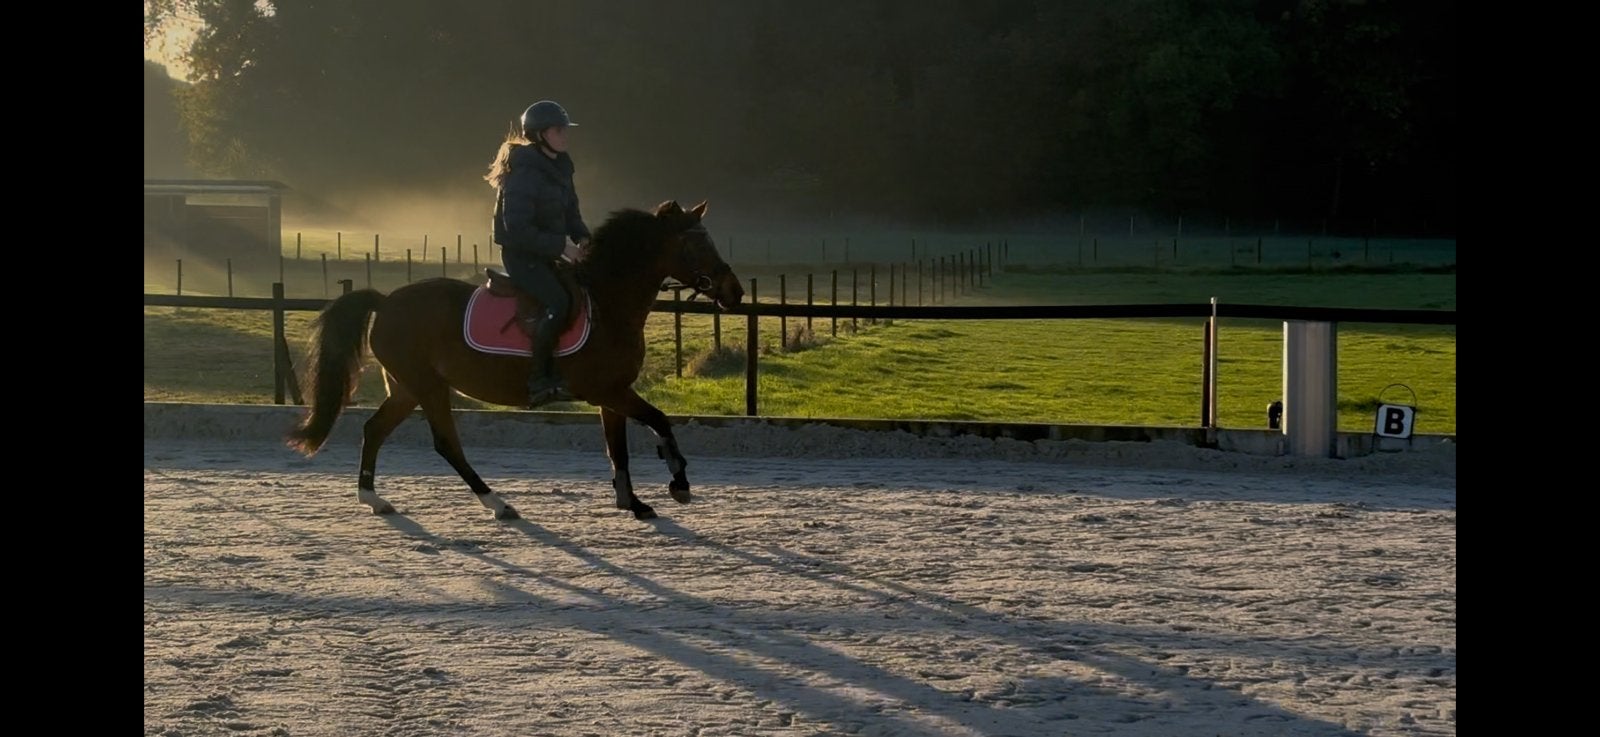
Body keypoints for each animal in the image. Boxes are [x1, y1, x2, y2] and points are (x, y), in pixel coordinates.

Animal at [285, 200, 744, 521]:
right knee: (446, 443)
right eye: (696, 243)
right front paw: (679, 482)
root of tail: (386, 301)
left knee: (375, 429)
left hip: (406, 388)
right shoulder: (609, 390)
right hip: (427, 386)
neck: (609, 303)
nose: (735, 292)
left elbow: (619, 450)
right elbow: (660, 422)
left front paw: (632, 503)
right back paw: (498, 504)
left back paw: (373, 499)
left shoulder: (612, 395)